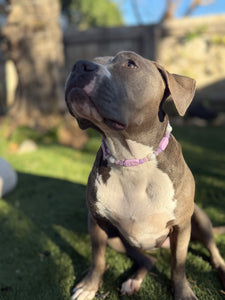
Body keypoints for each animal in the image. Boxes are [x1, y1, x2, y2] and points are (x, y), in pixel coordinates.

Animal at [65, 50, 225, 298]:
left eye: (130, 64)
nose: (79, 65)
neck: (132, 160)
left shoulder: (181, 227)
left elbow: (178, 266)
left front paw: (183, 292)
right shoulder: (97, 222)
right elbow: (97, 259)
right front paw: (88, 287)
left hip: (199, 219)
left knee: (215, 254)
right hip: (117, 239)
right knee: (148, 261)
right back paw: (133, 281)